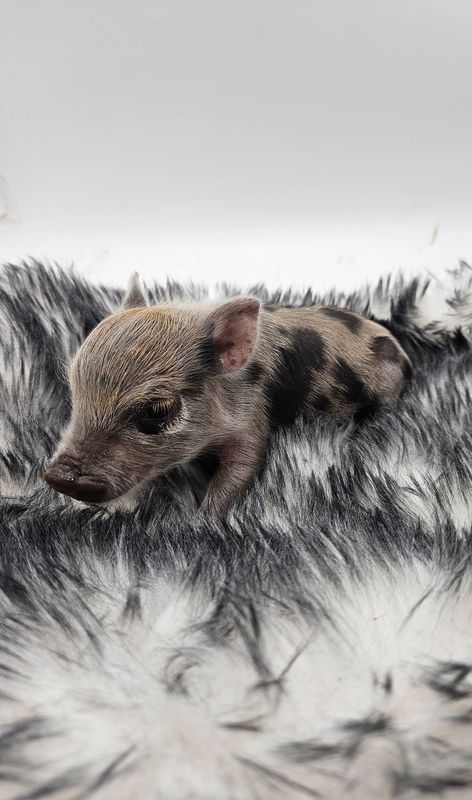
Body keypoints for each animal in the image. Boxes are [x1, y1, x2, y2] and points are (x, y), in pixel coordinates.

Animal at [43, 274, 412, 518]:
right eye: (75, 388)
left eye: (158, 410)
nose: (58, 477)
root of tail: (404, 354)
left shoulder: (252, 421)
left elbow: (242, 468)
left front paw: (201, 522)